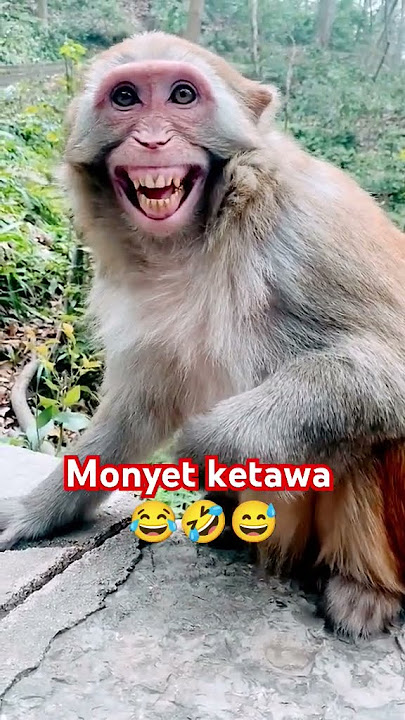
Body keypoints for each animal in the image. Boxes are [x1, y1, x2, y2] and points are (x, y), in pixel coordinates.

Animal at [1, 31, 404, 640]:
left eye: (182, 95)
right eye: (126, 98)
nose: (152, 137)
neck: (198, 236)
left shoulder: (310, 222)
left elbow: (390, 364)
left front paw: (208, 444)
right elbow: (138, 409)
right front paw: (41, 507)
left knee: (362, 429)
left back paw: (365, 588)